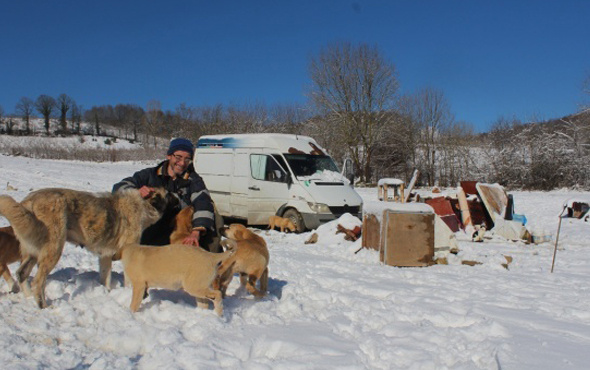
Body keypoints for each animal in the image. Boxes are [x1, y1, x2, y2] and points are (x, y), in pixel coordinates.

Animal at [0, 188, 170, 306]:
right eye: (169, 194)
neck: (141, 204)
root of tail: (29, 201)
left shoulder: (105, 256)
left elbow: (105, 277)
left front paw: (106, 292)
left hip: (34, 250)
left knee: (21, 273)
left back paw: (28, 297)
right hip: (54, 249)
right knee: (38, 281)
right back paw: (44, 306)